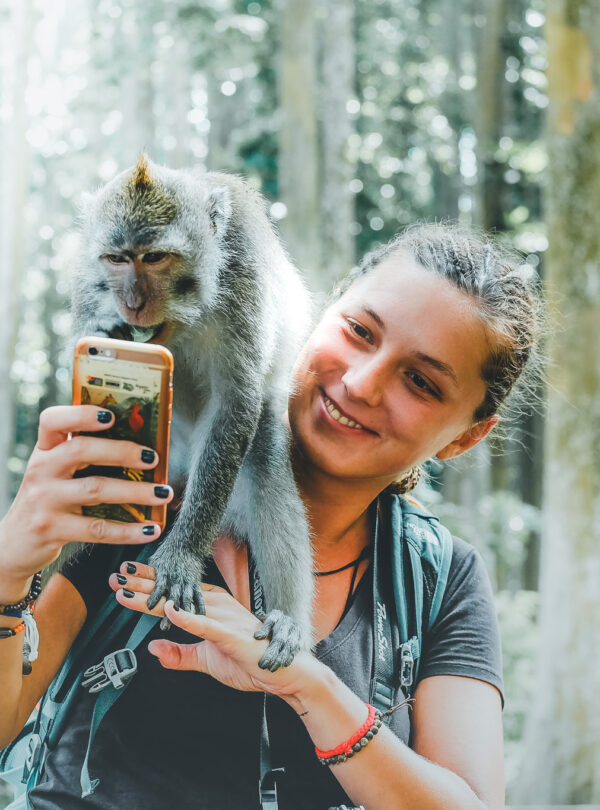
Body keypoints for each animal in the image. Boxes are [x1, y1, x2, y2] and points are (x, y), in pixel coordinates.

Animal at [70, 155, 314, 671]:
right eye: (116, 259)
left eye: (155, 258)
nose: (132, 303)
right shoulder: (86, 283)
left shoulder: (244, 273)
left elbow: (236, 401)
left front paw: (181, 556)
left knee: (262, 450)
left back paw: (288, 622)